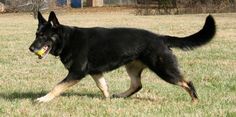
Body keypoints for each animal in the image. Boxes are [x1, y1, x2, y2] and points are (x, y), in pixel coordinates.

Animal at [29, 11, 216, 102]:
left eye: (44, 36)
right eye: (37, 34)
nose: (30, 48)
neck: (67, 39)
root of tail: (161, 38)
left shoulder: (76, 73)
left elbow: (57, 87)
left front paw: (43, 99)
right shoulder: (96, 73)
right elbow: (103, 87)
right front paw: (107, 100)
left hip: (165, 70)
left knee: (187, 82)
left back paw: (195, 101)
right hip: (132, 67)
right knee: (137, 85)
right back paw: (120, 96)